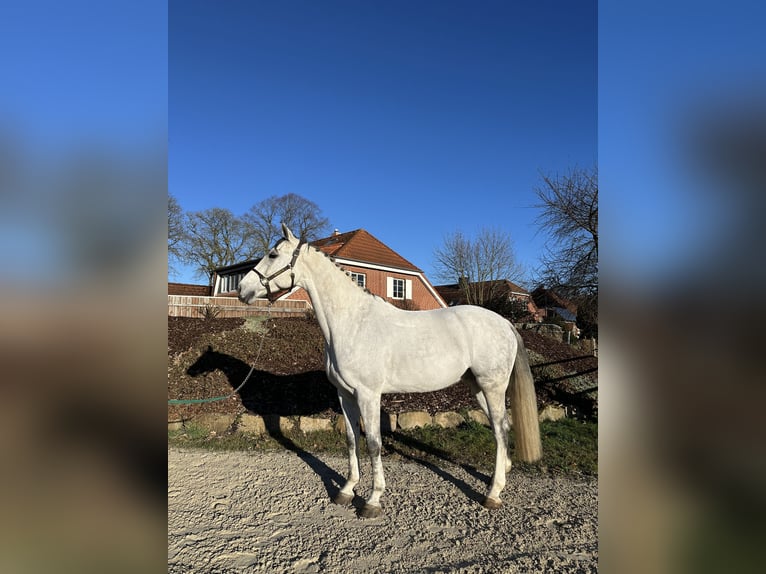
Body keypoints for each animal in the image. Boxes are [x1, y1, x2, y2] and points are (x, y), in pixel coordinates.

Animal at [237, 224, 542, 518]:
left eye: (273, 255)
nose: (242, 289)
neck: (353, 323)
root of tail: (505, 323)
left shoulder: (368, 395)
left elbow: (373, 443)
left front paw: (372, 500)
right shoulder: (345, 395)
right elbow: (351, 439)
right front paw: (346, 490)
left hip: (492, 386)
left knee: (500, 430)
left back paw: (493, 493)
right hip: (477, 387)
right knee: (501, 427)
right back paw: (500, 475)